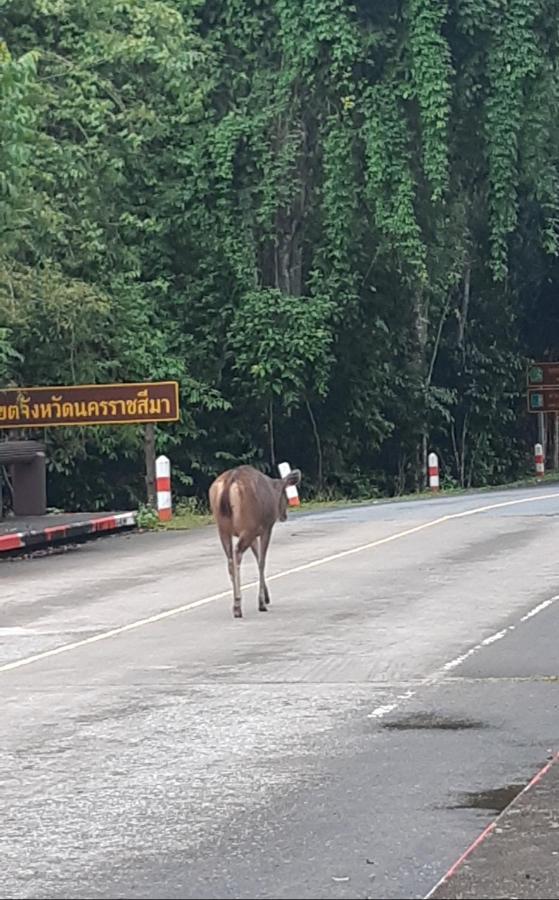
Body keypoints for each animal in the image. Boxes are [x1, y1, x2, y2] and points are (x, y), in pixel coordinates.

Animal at [210, 464, 304, 620]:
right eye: (285, 494)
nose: (284, 516)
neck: (273, 487)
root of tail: (231, 479)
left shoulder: (254, 533)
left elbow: (257, 556)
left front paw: (266, 596)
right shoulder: (265, 528)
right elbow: (262, 561)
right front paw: (262, 602)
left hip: (223, 528)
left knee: (230, 560)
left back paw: (236, 604)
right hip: (248, 525)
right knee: (237, 553)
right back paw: (238, 606)